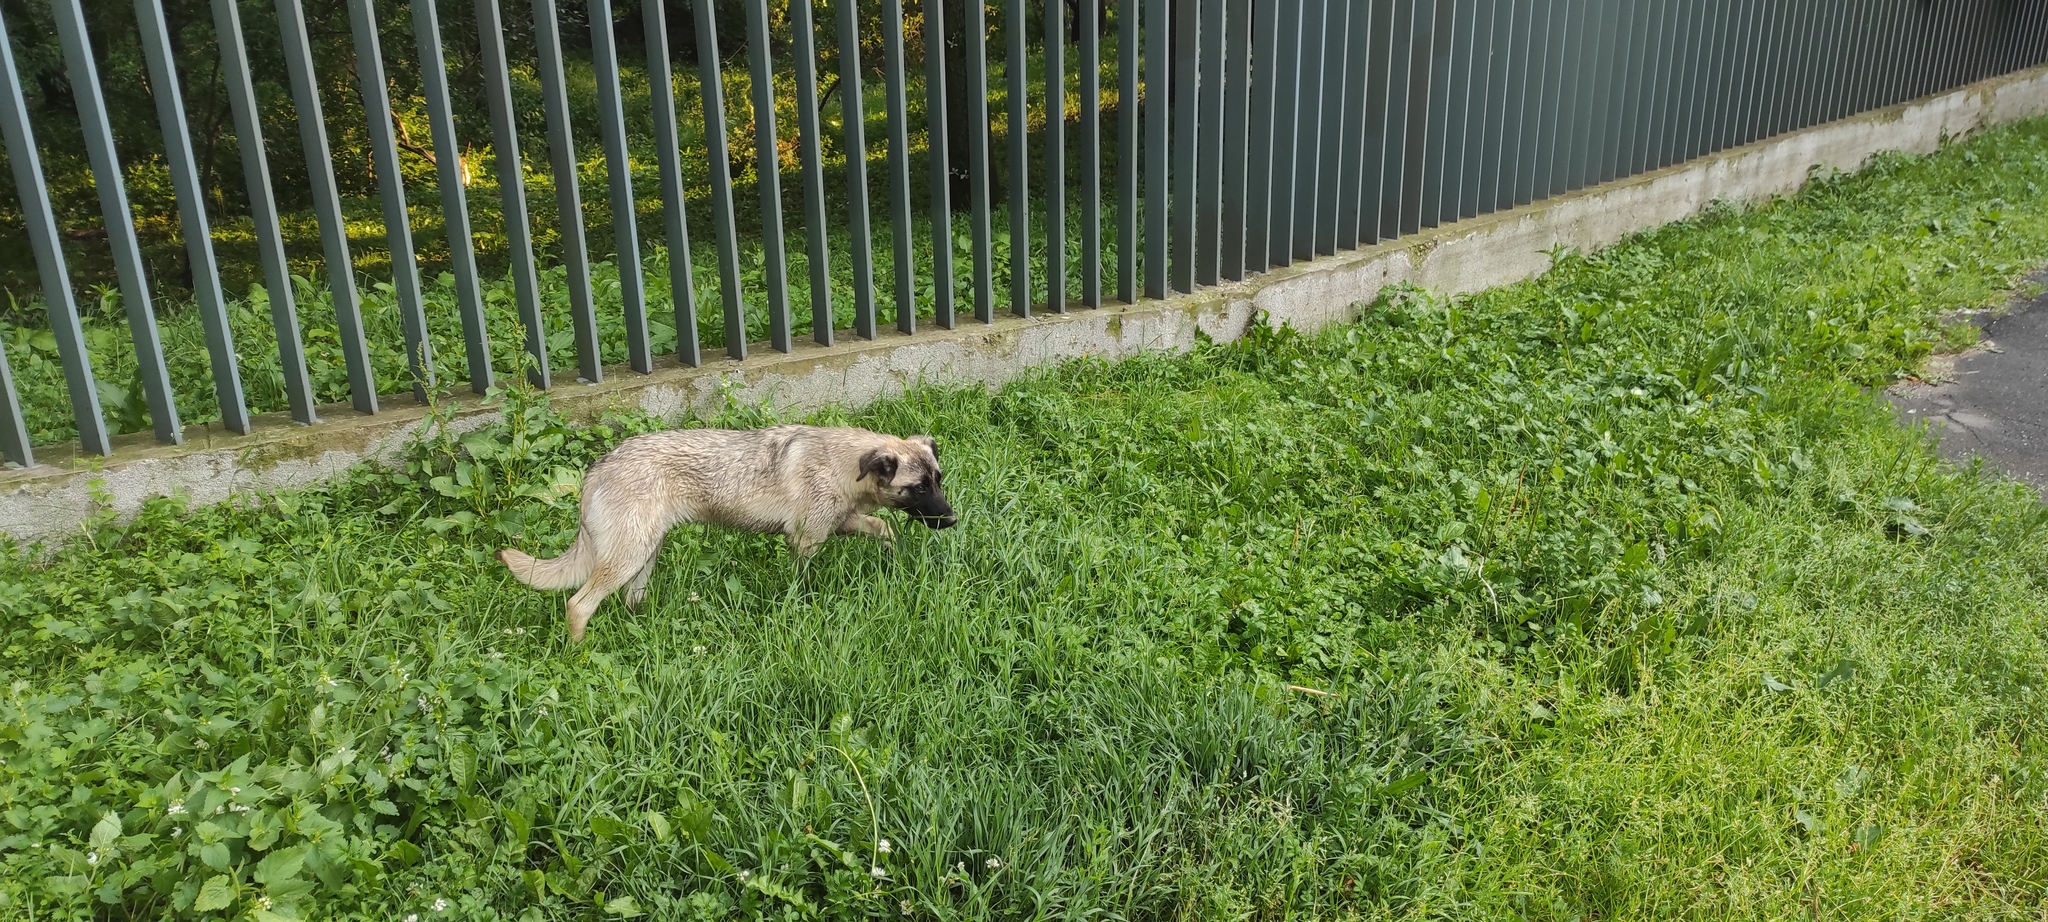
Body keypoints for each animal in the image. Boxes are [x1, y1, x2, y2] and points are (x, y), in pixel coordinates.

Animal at [495, 424, 950, 639]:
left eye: (938, 480)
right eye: (918, 487)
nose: (952, 520)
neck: (844, 462)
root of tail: (597, 469)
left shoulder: (842, 521)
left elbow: (883, 526)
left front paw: (894, 556)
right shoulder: (806, 540)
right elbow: (802, 583)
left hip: (645, 553)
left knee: (629, 599)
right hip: (627, 555)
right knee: (578, 605)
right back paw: (579, 653)